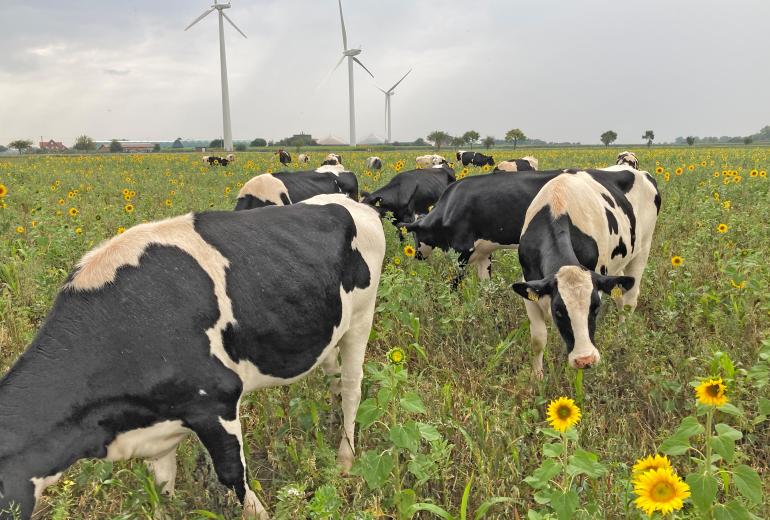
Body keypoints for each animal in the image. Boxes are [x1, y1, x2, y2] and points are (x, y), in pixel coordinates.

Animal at [0, 195, 384, 520]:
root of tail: (350, 202)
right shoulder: (157, 430)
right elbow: (162, 489)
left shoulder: (215, 400)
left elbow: (233, 476)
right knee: (333, 378)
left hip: (361, 319)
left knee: (352, 389)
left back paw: (345, 457)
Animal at [512, 169, 656, 376]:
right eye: (558, 311)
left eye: (595, 308)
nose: (585, 360)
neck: (557, 209)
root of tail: (639, 171)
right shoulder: (529, 286)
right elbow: (538, 339)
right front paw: (537, 376)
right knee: (620, 296)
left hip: (643, 248)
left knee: (630, 300)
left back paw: (622, 337)